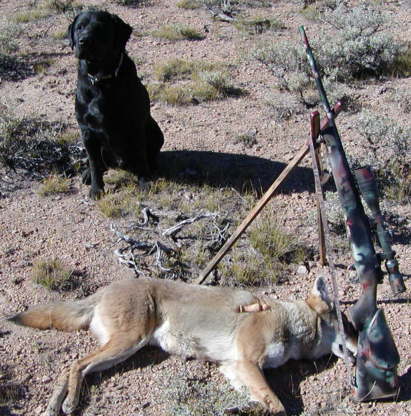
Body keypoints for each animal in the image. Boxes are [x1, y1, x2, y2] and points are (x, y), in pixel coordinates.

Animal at [68, 9, 163, 198]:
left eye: (100, 28)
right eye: (79, 27)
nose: (84, 41)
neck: (101, 79)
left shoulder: (135, 126)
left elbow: (140, 157)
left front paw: (145, 182)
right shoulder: (87, 131)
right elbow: (94, 163)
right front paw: (96, 188)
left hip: (155, 131)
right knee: (98, 162)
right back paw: (88, 174)